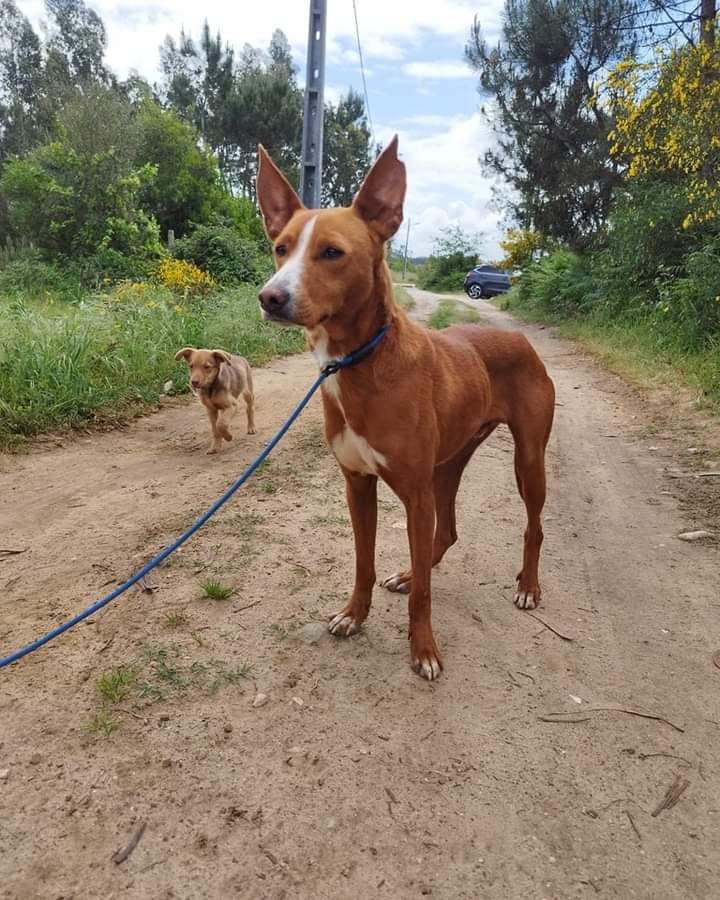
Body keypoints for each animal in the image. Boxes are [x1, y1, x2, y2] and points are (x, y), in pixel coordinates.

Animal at [256, 137, 556, 680]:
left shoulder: (414, 496)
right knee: (448, 533)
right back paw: (411, 571)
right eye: (281, 248)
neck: (361, 362)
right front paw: (355, 615)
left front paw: (424, 650)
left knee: (535, 526)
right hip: (446, 466)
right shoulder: (358, 485)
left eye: (332, 252)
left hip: (527, 461)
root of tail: (519, 336)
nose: (270, 297)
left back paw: (528, 586)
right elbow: (363, 563)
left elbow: (424, 595)